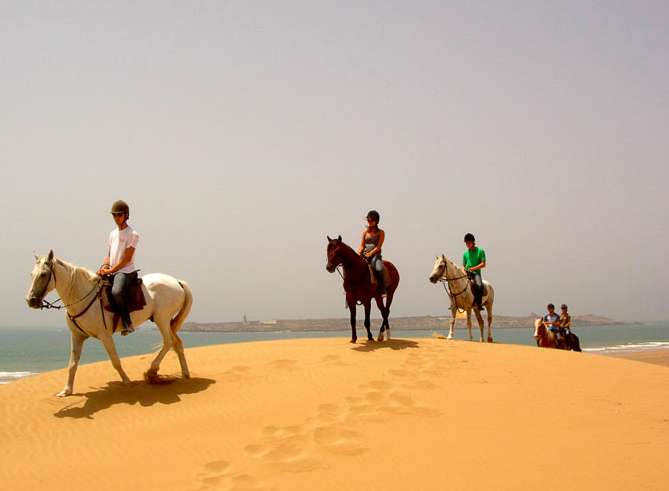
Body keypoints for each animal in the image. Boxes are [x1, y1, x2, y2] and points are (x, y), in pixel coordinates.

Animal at [25, 252, 192, 398]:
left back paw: (152, 370)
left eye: (43, 274)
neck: (82, 297)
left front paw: (127, 381)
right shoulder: (77, 336)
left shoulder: (105, 336)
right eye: (32, 274)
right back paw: (185, 374)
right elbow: (72, 364)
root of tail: (177, 282)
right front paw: (66, 391)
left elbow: (115, 361)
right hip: (166, 321)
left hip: (161, 319)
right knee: (177, 343)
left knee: (168, 342)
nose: (31, 300)